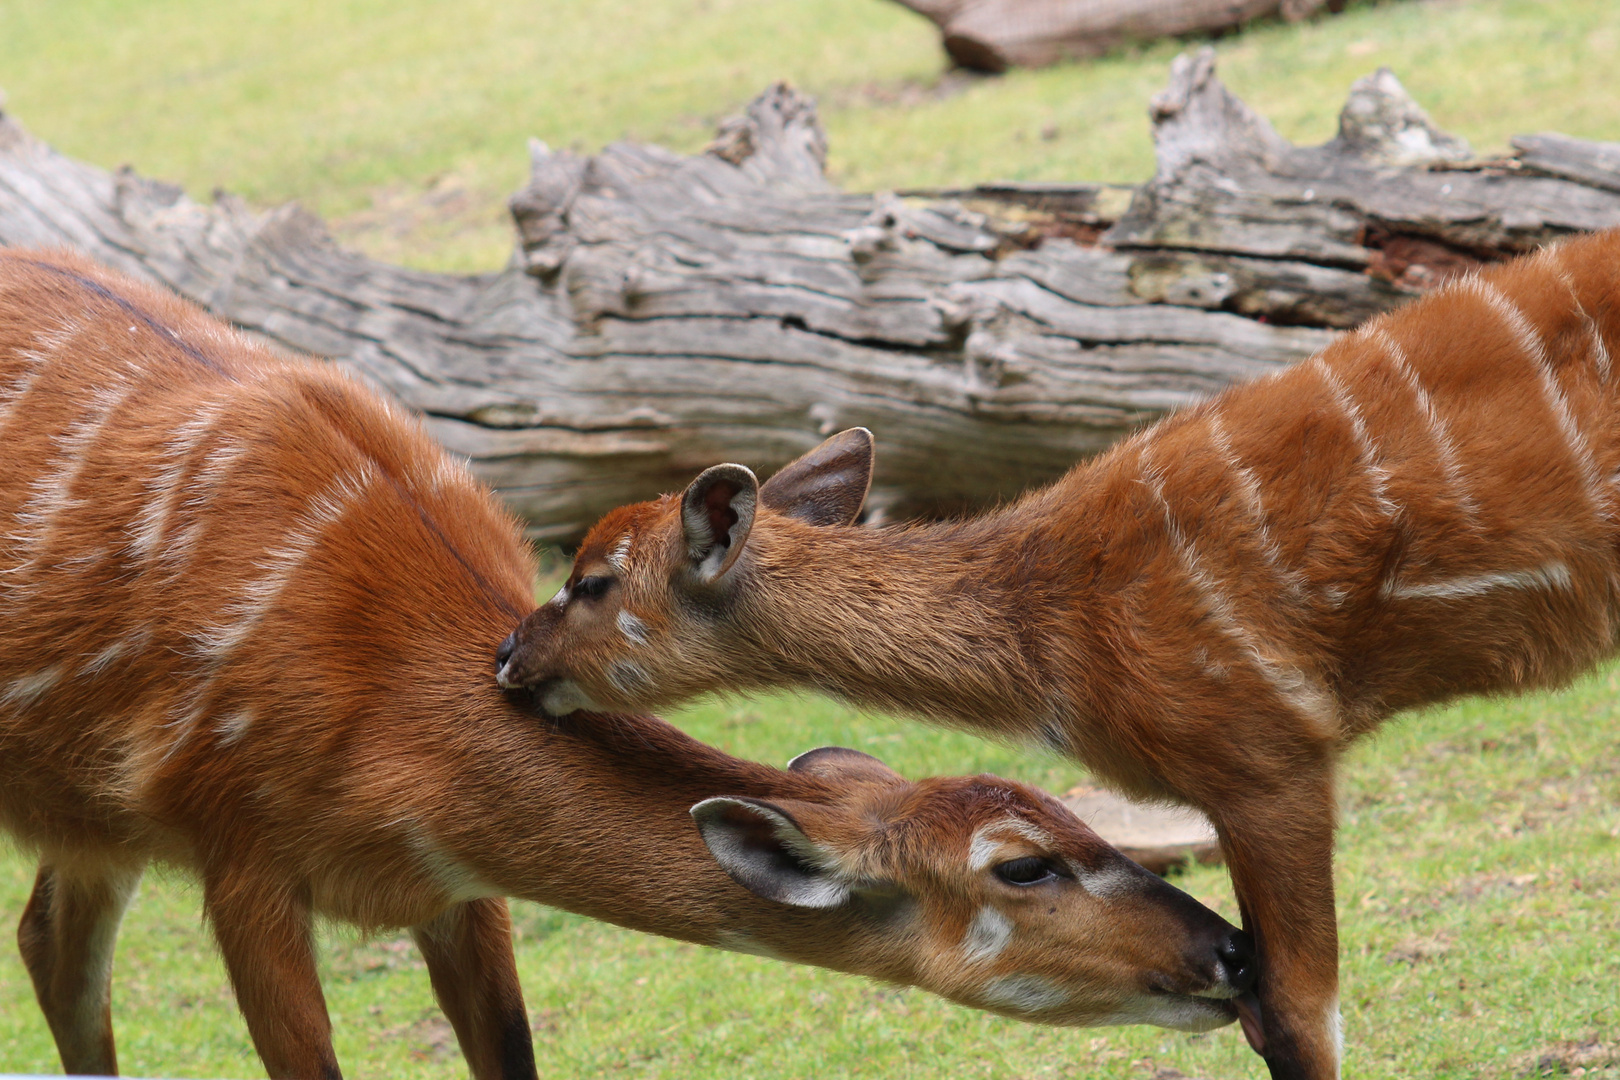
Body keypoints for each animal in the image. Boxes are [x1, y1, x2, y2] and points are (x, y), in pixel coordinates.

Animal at [0, 249, 1250, 1080]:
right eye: (1021, 866)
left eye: (1067, 807)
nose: (1232, 952)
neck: (382, 718)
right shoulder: (236, 845)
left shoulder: (454, 885)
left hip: (91, 814)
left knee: (50, 940)